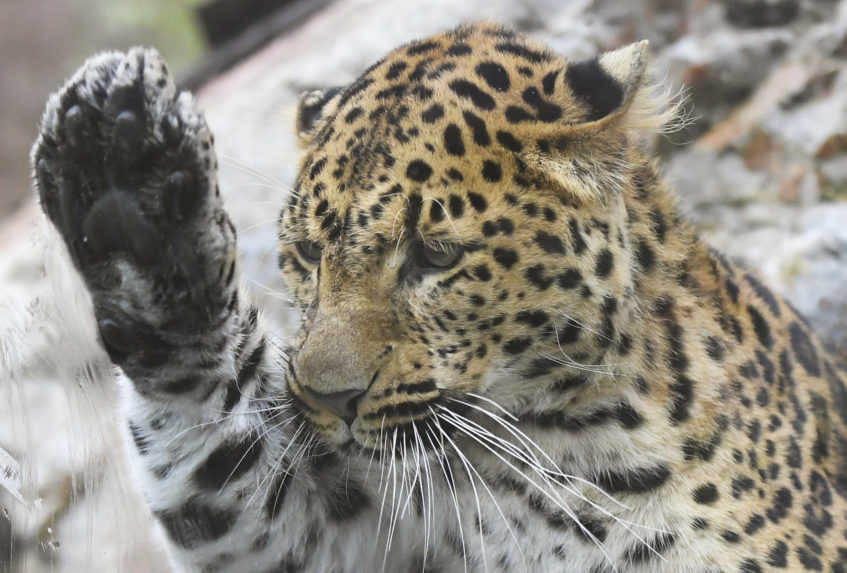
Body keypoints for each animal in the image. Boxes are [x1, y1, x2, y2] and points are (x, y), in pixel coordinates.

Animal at [29, 21, 847, 572]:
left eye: (435, 256)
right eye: (307, 255)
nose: (325, 399)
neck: (572, 439)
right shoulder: (341, 533)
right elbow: (223, 473)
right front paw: (125, 186)